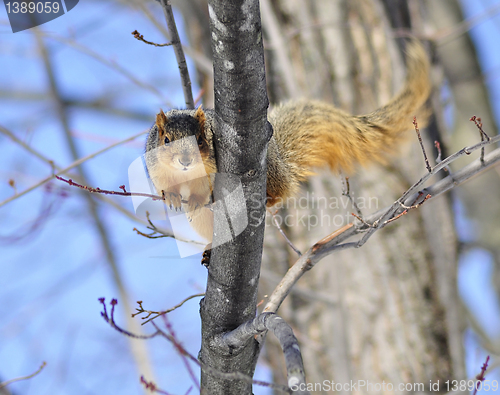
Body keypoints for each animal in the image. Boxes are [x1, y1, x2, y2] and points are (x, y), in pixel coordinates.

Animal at [144, 41, 430, 243]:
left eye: (202, 140)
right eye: (166, 140)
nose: (185, 160)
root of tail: (282, 163)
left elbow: (205, 187)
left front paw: (196, 198)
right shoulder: (157, 170)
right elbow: (165, 186)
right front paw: (172, 197)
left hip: (270, 171)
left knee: (283, 190)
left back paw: (269, 199)